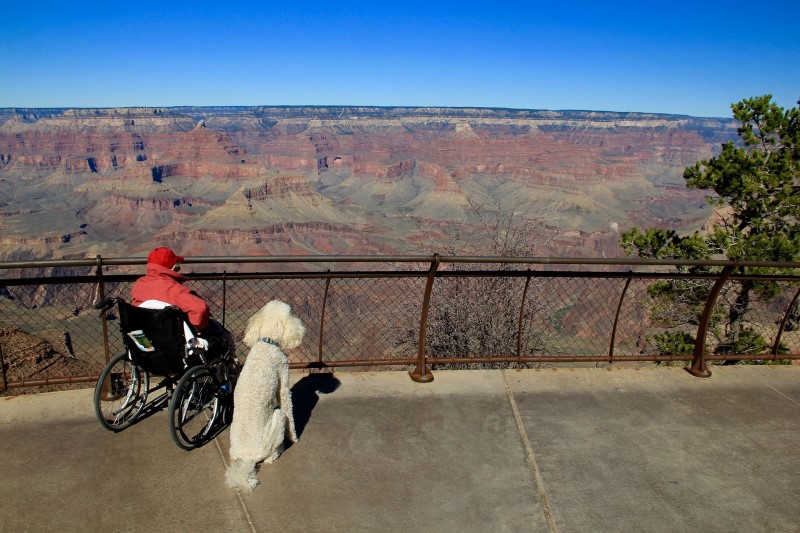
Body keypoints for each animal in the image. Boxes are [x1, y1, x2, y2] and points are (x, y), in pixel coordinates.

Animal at [225, 300, 306, 490]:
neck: (268, 342)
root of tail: (248, 458)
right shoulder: (283, 378)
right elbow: (289, 409)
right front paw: (295, 437)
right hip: (277, 418)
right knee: (270, 456)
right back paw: (279, 449)